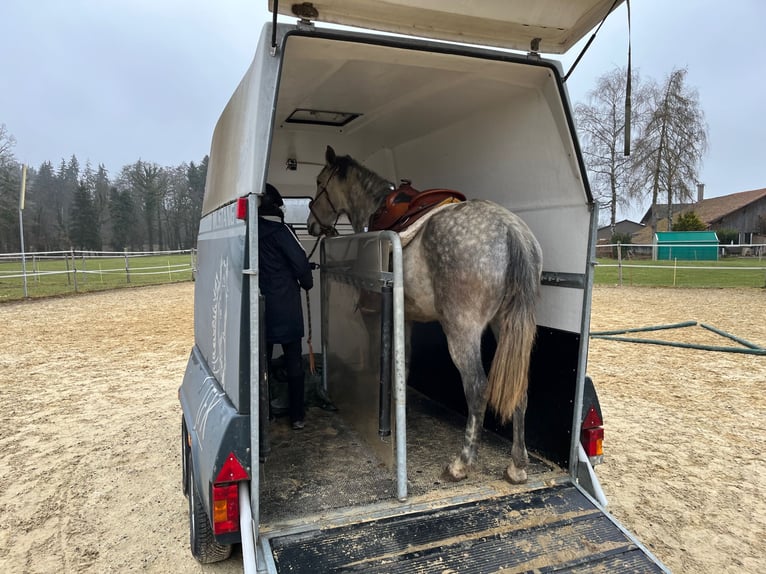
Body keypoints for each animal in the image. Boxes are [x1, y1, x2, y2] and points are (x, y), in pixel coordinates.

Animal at [308, 146, 544, 484]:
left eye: (319, 182)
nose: (312, 224)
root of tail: (511, 231)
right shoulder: (406, 321)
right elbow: (403, 365)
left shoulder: (376, 319)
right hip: (506, 328)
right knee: (519, 390)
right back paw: (517, 465)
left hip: (462, 331)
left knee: (477, 388)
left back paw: (461, 464)